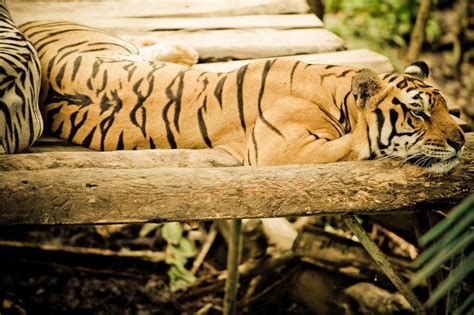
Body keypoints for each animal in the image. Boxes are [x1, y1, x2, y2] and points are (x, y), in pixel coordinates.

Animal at [17, 20, 462, 173]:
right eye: (418, 113)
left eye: (446, 107)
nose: (460, 142)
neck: (335, 92)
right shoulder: (280, 151)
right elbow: (357, 144)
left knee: (148, 46)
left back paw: (184, 51)